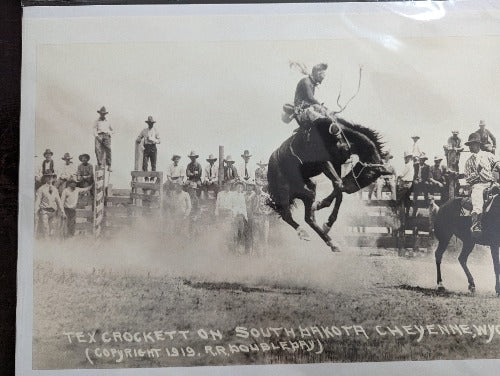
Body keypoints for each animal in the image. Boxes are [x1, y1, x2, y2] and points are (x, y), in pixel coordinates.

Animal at [266, 117, 390, 253]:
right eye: (368, 176)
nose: (350, 189)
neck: (340, 136)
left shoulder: (337, 163)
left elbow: (338, 187)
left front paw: (323, 211)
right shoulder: (324, 162)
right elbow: (339, 185)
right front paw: (323, 211)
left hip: (308, 189)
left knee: (309, 218)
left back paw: (331, 242)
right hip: (283, 189)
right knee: (287, 215)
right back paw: (303, 232)